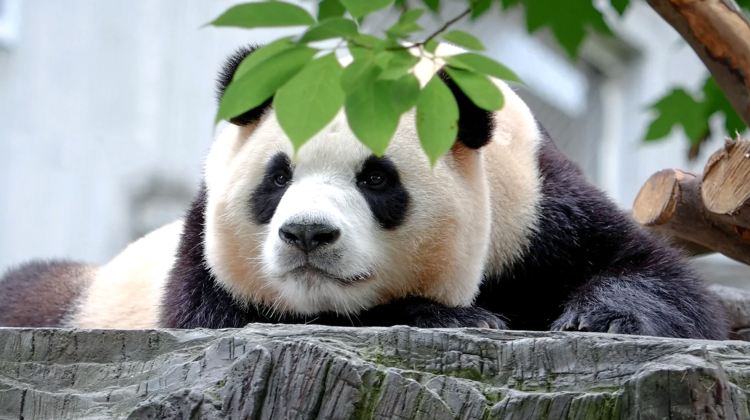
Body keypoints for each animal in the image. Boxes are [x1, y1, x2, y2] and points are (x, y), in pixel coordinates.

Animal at [0, 45, 728, 339]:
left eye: (376, 179)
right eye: (278, 177)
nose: (307, 235)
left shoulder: (535, 205)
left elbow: (656, 275)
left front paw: (601, 318)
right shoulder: (203, 252)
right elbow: (230, 316)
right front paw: (452, 318)